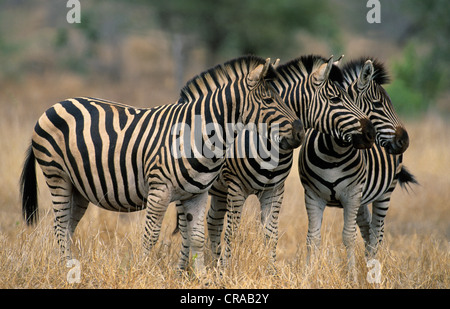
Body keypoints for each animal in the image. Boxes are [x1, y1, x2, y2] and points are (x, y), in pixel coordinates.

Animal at [20, 56, 302, 274]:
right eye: (268, 101)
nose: (300, 132)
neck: (200, 135)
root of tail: (57, 104)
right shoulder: (160, 191)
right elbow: (151, 236)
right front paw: (142, 272)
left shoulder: (197, 194)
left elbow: (197, 238)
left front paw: (202, 277)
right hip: (57, 176)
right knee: (59, 226)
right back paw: (65, 269)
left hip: (79, 188)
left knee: (67, 227)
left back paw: (70, 267)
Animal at [173, 55, 376, 270]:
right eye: (335, 99)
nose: (371, 133)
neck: (270, 146)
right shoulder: (236, 187)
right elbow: (232, 232)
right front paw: (228, 270)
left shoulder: (274, 189)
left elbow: (270, 234)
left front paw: (270, 271)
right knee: (187, 230)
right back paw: (182, 270)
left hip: (218, 190)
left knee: (213, 222)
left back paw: (213, 264)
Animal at [298, 57, 418, 280]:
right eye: (378, 105)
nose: (404, 141)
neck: (332, 152)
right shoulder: (312, 195)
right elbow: (313, 237)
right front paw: (307, 276)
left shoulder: (352, 195)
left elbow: (348, 237)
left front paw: (352, 277)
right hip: (362, 199)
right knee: (367, 231)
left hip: (384, 193)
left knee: (376, 234)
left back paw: (373, 273)